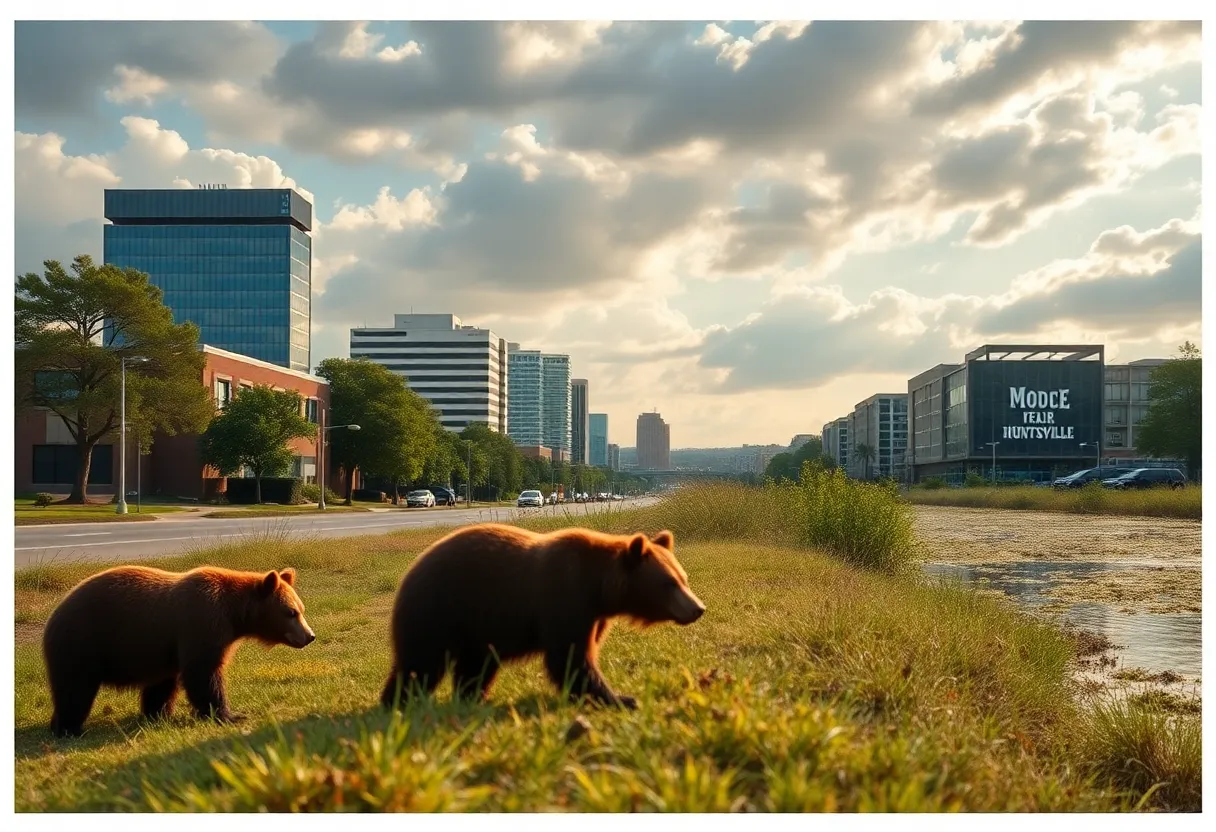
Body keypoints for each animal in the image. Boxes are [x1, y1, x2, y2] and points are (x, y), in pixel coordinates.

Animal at [42, 565, 315, 737]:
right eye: (291, 612)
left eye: (301, 608)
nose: (309, 636)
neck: (234, 614)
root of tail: (55, 614)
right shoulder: (202, 623)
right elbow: (203, 673)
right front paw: (229, 714)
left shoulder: (167, 648)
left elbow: (163, 684)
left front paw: (159, 713)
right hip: (83, 642)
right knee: (75, 688)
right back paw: (69, 728)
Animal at [379, 524, 705, 711]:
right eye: (669, 583)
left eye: (684, 578)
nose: (698, 608)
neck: (598, 586)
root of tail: (410, 571)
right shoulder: (565, 596)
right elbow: (571, 658)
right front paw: (621, 698)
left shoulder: (593, 615)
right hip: (440, 608)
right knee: (421, 663)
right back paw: (397, 701)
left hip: (478, 625)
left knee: (475, 665)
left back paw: (474, 698)